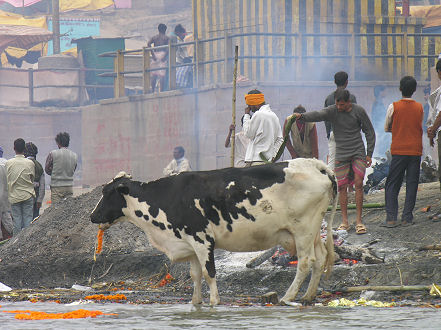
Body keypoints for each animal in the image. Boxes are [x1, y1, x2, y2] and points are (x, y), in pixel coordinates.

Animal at [90, 159, 336, 306]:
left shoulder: (202, 239)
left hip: (303, 229)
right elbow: (195, 275)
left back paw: (288, 296)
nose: (92, 216)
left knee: (305, 262)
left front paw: (214, 302)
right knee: (320, 259)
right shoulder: (189, 244)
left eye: (107, 192)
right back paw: (308, 295)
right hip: (313, 231)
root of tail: (314, 164)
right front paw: (196, 303)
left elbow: (209, 273)